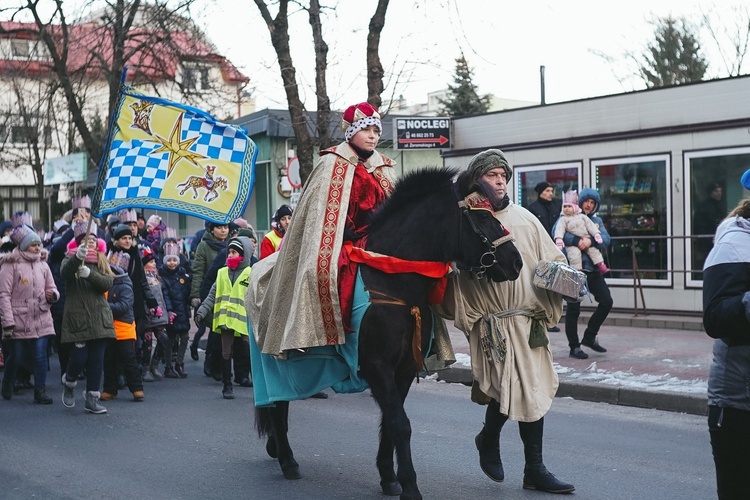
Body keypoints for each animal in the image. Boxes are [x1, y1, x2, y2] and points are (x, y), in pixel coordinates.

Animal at [256, 168, 520, 500]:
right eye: (483, 216)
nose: (516, 262)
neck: (395, 280)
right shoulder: (377, 366)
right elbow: (400, 424)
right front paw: (410, 485)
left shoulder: (403, 368)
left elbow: (390, 424)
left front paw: (388, 477)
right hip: (272, 362)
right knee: (278, 405)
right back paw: (288, 460)